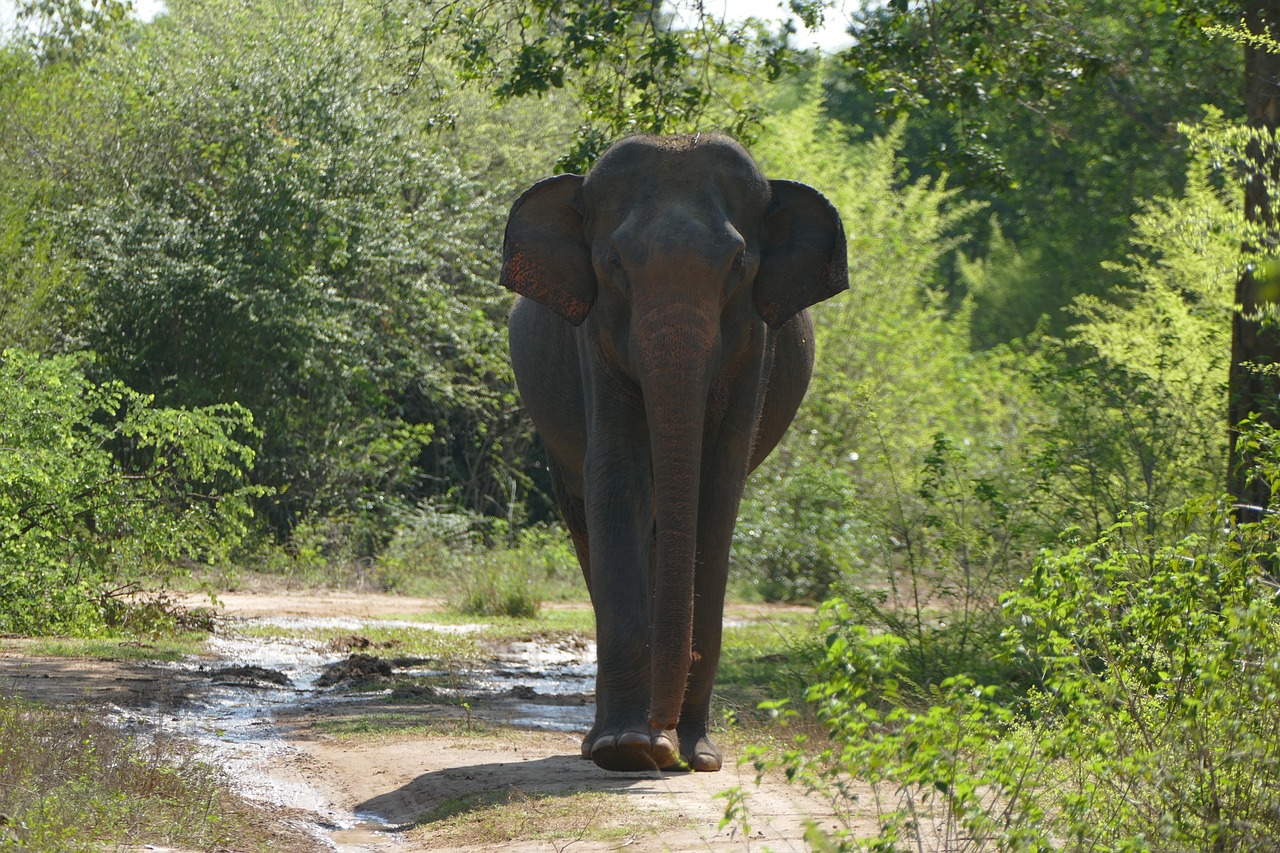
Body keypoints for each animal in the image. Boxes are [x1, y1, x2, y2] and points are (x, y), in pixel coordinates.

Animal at [499, 133, 849, 768]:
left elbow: (717, 486)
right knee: (589, 521)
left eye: (738, 265)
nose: (663, 744)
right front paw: (626, 751)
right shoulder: (593, 334)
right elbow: (618, 475)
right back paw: (606, 744)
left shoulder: (755, 340)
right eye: (613, 264)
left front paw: (697, 756)